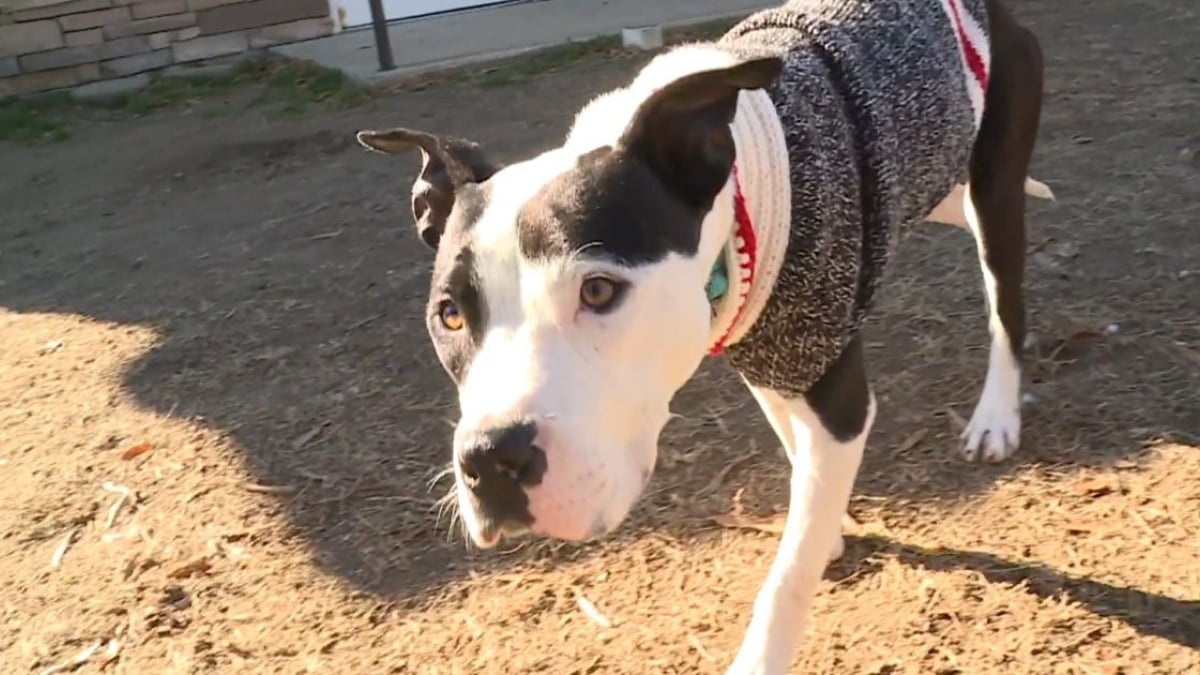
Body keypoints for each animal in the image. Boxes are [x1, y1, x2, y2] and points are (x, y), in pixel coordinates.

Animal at [352, 0, 1051, 667]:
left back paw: (995, 416)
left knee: (1006, 303)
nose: (490, 460)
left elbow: (786, 577)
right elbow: (797, 453)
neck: (731, 208)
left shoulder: (835, 390)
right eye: (450, 315)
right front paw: (823, 523)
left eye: (598, 290)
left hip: (994, 188)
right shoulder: (766, 351)